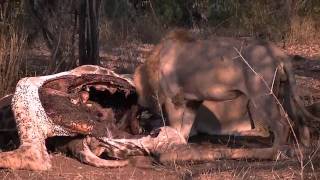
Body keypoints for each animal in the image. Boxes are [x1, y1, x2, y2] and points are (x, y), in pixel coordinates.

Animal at [134, 29, 318, 160]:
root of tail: (278, 52)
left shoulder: (175, 99)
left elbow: (175, 126)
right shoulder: (194, 101)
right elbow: (185, 128)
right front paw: (182, 146)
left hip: (262, 94)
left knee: (282, 125)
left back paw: (272, 153)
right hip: (285, 92)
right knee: (300, 119)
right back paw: (302, 150)